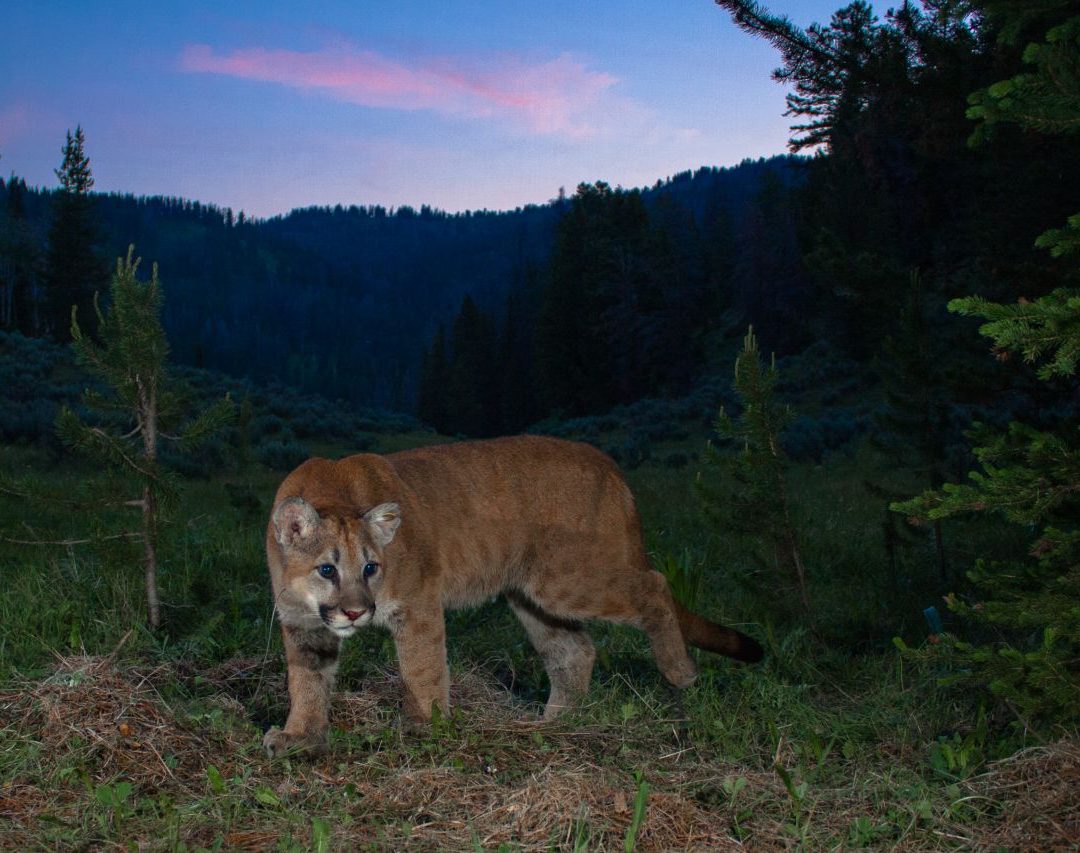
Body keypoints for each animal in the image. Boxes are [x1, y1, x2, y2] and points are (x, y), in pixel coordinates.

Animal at [263, 435, 762, 756]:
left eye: (371, 568)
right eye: (327, 569)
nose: (356, 612)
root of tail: (609, 464)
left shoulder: (417, 604)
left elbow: (422, 670)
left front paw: (425, 728)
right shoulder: (303, 625)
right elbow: (306, 681)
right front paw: (299, 737)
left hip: (568, 578)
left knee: (654, 585)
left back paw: (680, 672)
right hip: (532, 597)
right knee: (575, 651)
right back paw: (552, 723)